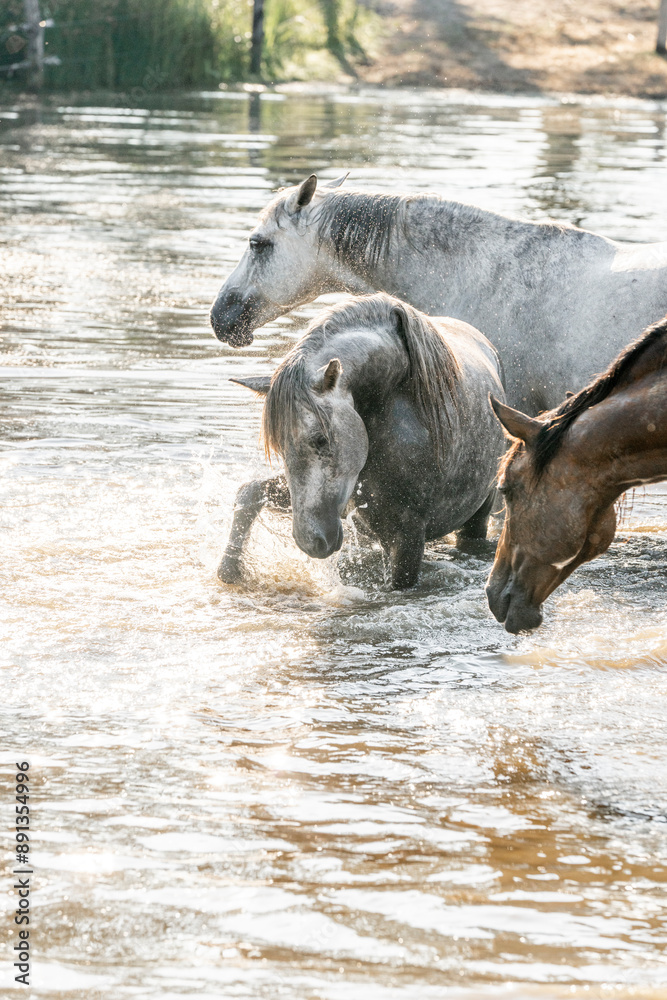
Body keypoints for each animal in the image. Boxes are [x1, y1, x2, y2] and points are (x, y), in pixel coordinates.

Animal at [218, 293, 506, 590]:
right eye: (280, 448)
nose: (311, 542)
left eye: (321, 439)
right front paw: (231, 569)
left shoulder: (408, 538)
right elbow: (249, 491)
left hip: (478, 516)